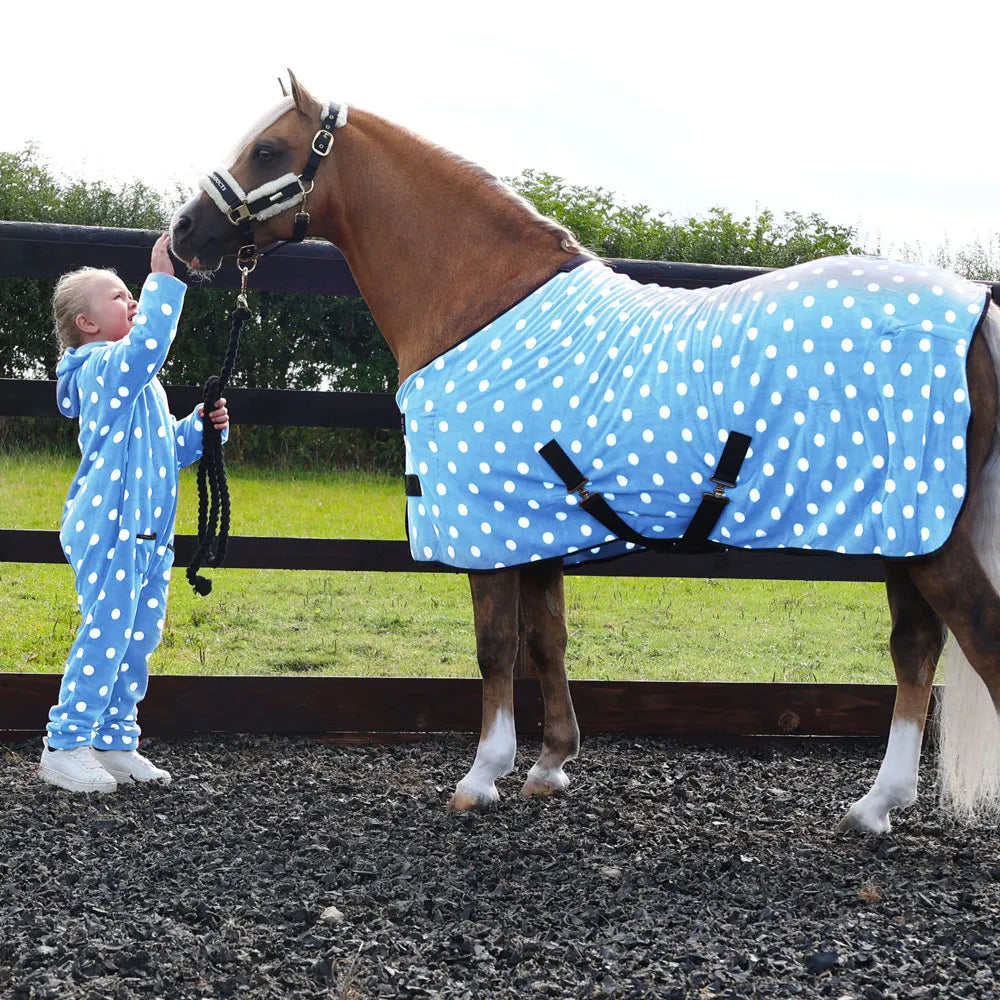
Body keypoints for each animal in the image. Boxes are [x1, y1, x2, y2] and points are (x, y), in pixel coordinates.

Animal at [168, 72, 1000, 836]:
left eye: (267, 149)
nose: (184, 236)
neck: (480, 297)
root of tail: (974, 310)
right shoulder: (536, 527)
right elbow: (548, 640)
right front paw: (550, 765)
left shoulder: (490, 532)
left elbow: (496, 646)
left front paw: (483, 775)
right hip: (901, 533)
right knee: (915, 646)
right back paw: (876, 806)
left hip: (929, 539)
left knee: (977, 637)